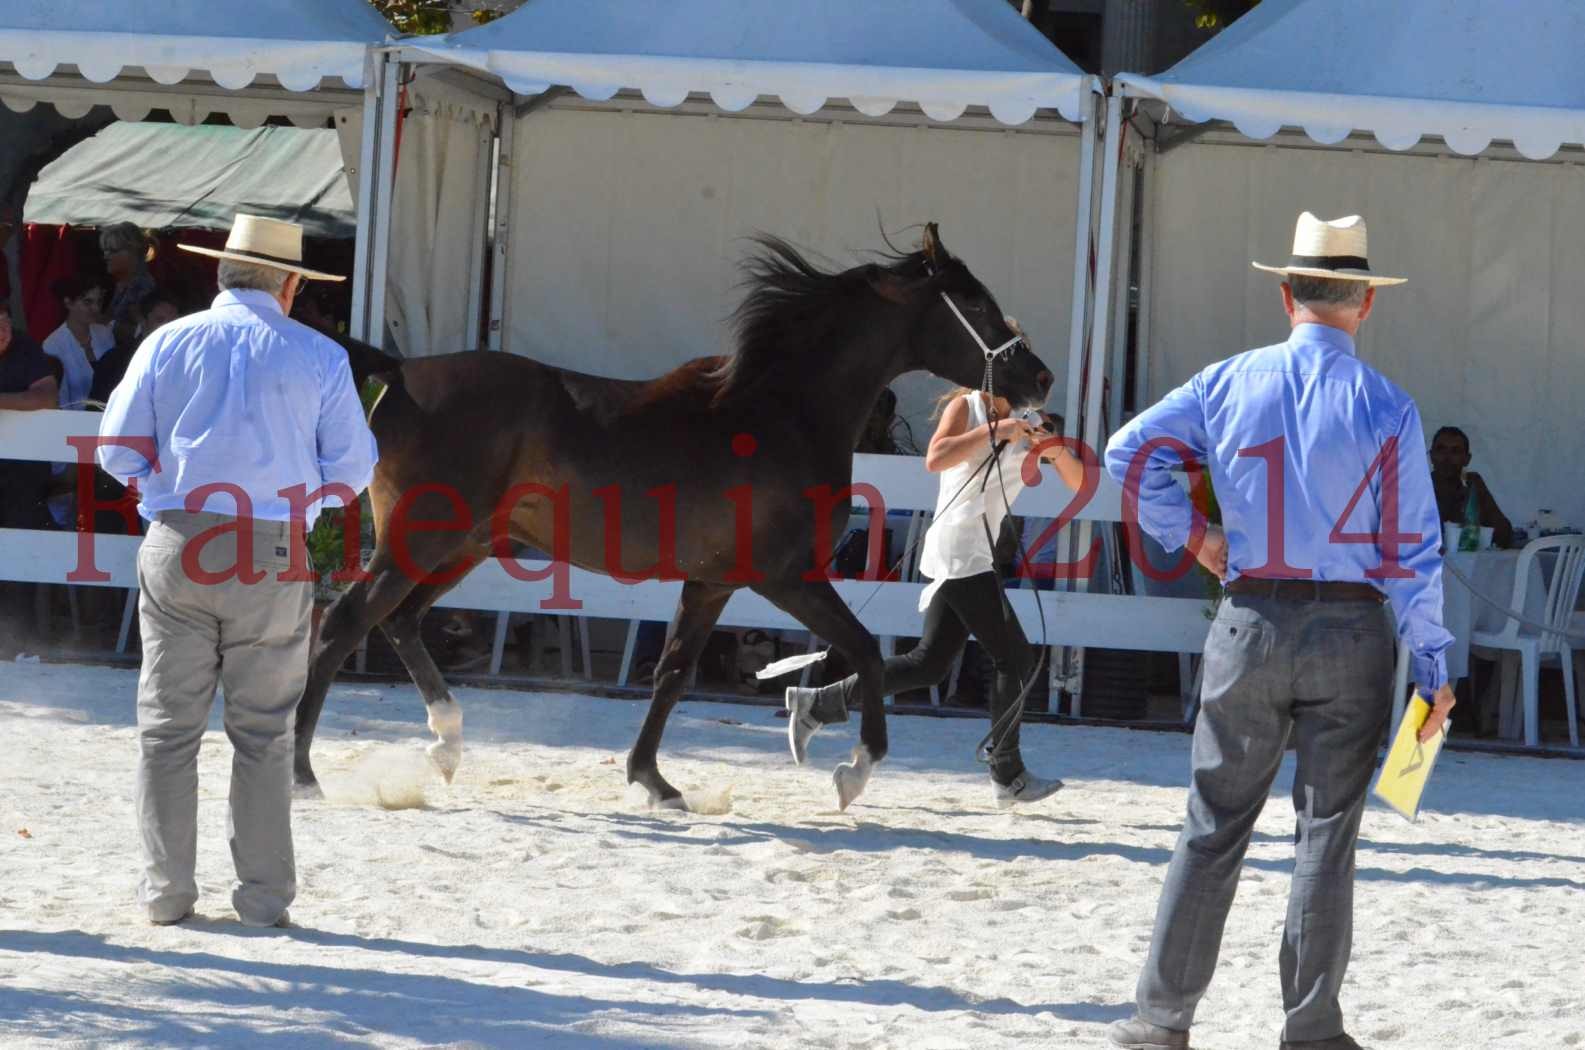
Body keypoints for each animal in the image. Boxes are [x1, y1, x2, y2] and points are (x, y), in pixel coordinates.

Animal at [299, 223, 1052, 812]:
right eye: (975, 300)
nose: (1039, 378)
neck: (780, 413)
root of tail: (401, 371)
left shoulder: (713, 583)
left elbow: (672, 674)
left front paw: (654, 782)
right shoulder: (785, 577)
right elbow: (865, 649)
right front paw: (854, 771)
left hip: (462, 547)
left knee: (397, 622)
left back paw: (447, 746)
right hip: (417, 542)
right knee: (343, 624)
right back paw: (304, 773)